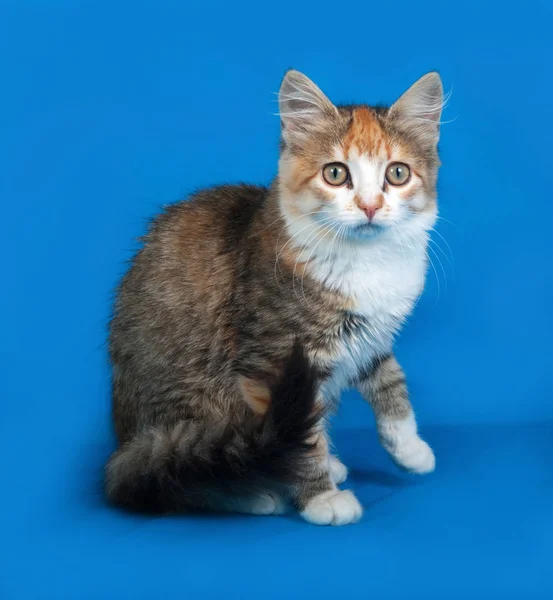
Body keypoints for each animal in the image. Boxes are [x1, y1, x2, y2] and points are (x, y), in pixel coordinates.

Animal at [105, 69, 444, 524]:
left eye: (398, 174)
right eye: (335, 174)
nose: (371, 206)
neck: (366, 260)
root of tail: (125, 446)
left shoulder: (370, 336)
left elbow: (391, 383)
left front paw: (409, 449)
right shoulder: (272, 358)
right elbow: (306, 441)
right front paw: (320, 498)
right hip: (195, 412)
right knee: (187, 470)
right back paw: (254, 493)